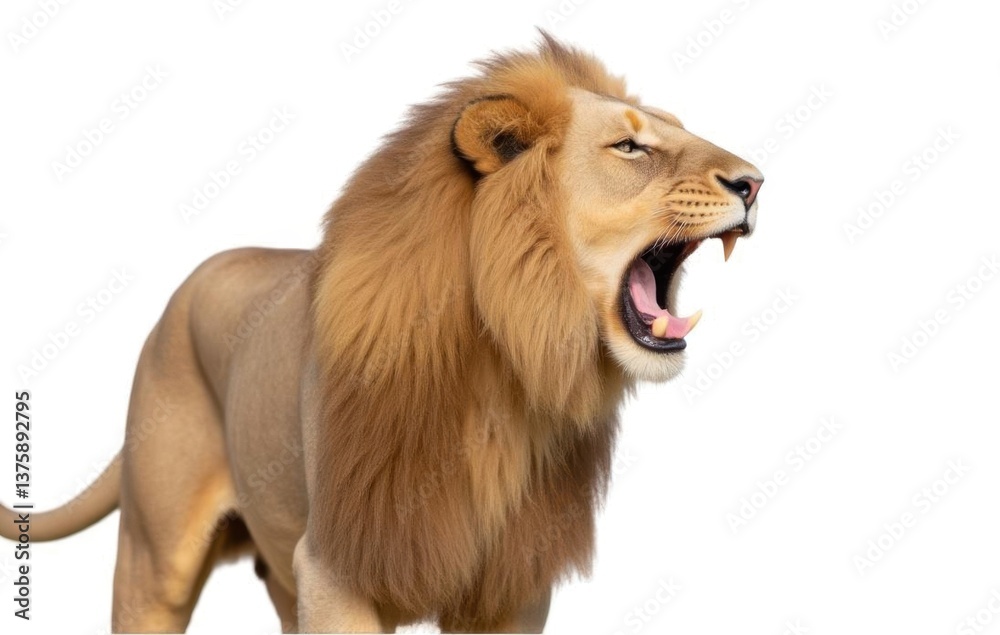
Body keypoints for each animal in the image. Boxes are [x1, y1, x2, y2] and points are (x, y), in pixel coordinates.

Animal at [1, 34, 762, 633]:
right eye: (631, 146)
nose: (755, 181)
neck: (503, 366)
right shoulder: (337, 567)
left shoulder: (512, 581)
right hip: (154, 560)